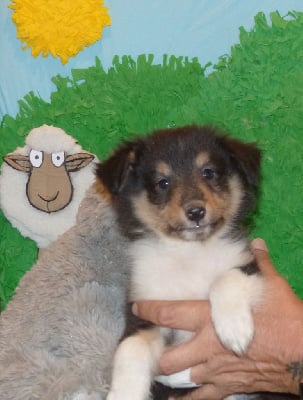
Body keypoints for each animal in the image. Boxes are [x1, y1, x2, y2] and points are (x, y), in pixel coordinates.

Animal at [98, 126, 266, 400]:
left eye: (208, 172)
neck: (190, 252)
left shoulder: (251, 267)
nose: (196, 212)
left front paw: (234, 330)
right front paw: (124, 392)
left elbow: (225, 278)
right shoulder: (143, 311)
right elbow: (131, 347)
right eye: (162, 182)